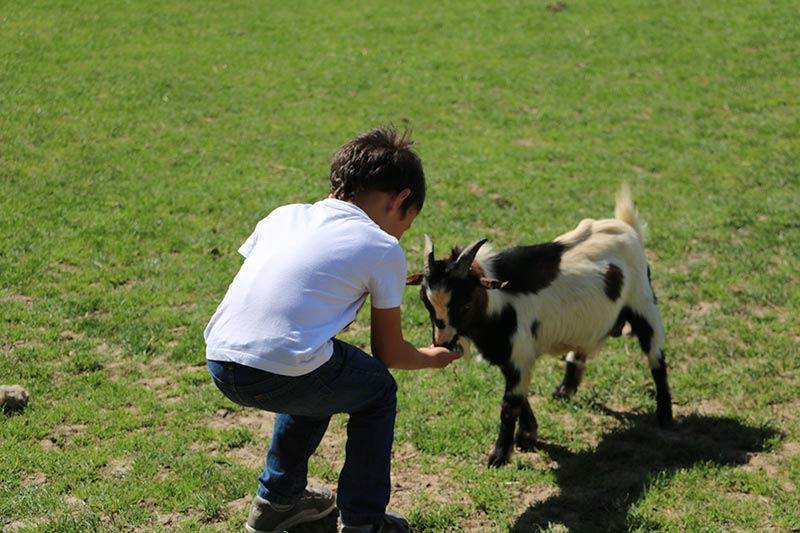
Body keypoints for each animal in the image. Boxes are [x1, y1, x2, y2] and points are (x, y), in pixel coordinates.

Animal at [410, 184, 672, 466]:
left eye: (465, 303)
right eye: (426, 302)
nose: (442, 342)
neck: (497, 304)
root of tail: (628, 228)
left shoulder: (517, 353)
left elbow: (509, 405)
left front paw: (499, 456)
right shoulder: (510, 357)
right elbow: (521, 397)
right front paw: (527, 436)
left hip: (644, 304)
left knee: (656, 357)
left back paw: (665, 416)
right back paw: (565, 389)